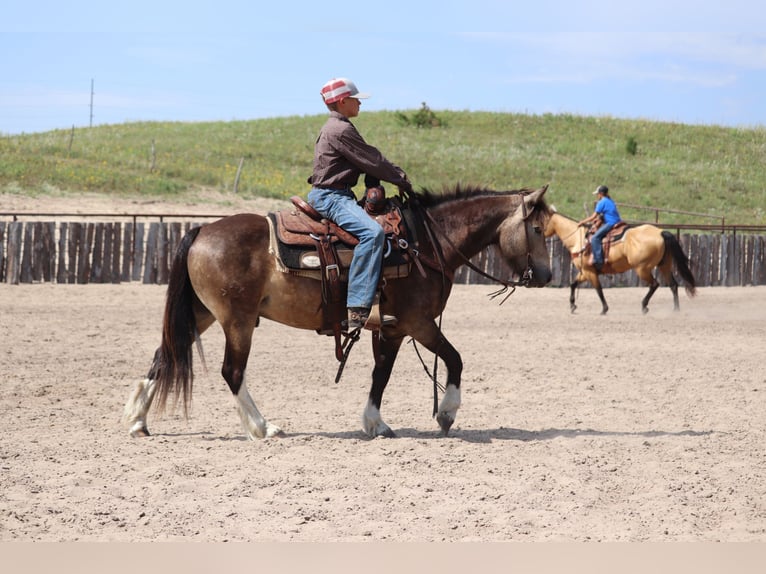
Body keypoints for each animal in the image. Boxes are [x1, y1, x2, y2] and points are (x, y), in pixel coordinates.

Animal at [123, 185, 553, 440]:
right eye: (536, 229)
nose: (547, 276)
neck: (423, 244)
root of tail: (201, 231)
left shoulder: (391, 328)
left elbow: (382, 374)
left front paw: (376, 423)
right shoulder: (417, 322)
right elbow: (455, 358)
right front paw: (446, 413)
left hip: (203, 314)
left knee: (165, 355)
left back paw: (138, 421)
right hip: (237, 321)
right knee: (232, 371)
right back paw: (263, 427)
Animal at [544, 209, 696, 315]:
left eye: (543, 221)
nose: (540, 232)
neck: (578, 238)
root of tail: (660, 233)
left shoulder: (589, 272)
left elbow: (598, 289)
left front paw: (604, 309)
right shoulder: (585, 272)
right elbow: (573, 284)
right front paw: (572, 306)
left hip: (642, 269)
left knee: (655, 284)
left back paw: (644, 306)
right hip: (664, 265)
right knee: (673, 285)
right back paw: (675, 309)